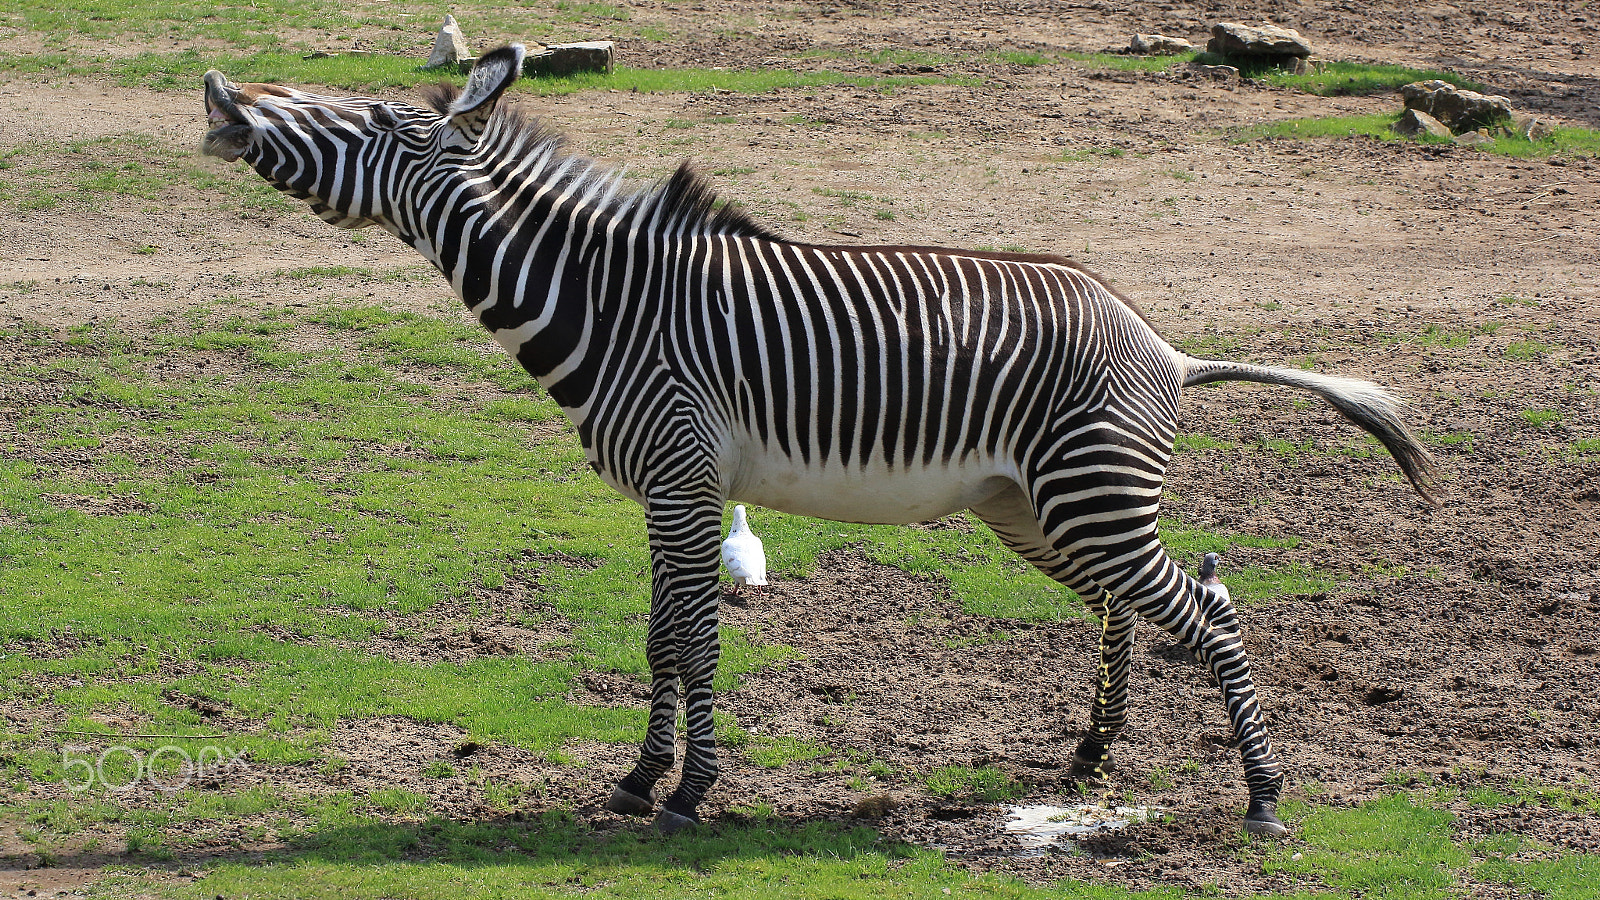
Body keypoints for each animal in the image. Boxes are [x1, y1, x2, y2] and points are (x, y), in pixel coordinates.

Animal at [201, 45, 1438, 837]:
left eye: (365, 122)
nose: (218, 94)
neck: (603, 302)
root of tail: (1166, 346)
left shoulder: (685, 475)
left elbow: (697, 642)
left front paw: (690, 795)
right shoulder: (668, 490)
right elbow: (659, 638)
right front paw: (639, 779)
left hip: (1088, 499)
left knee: (1210, 609)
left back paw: (1263, 801)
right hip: (1034, 508)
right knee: (1137, 606)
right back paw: (1093, 754)